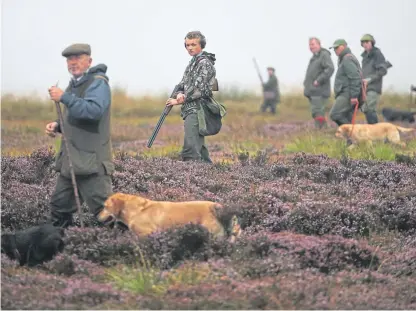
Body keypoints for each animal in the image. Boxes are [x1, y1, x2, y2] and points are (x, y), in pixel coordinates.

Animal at [97, 194, 240, 243]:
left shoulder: (147, 233)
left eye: (105, 206)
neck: (135, 210)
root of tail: (215, 206)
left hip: (214, 235)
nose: (96, 217)